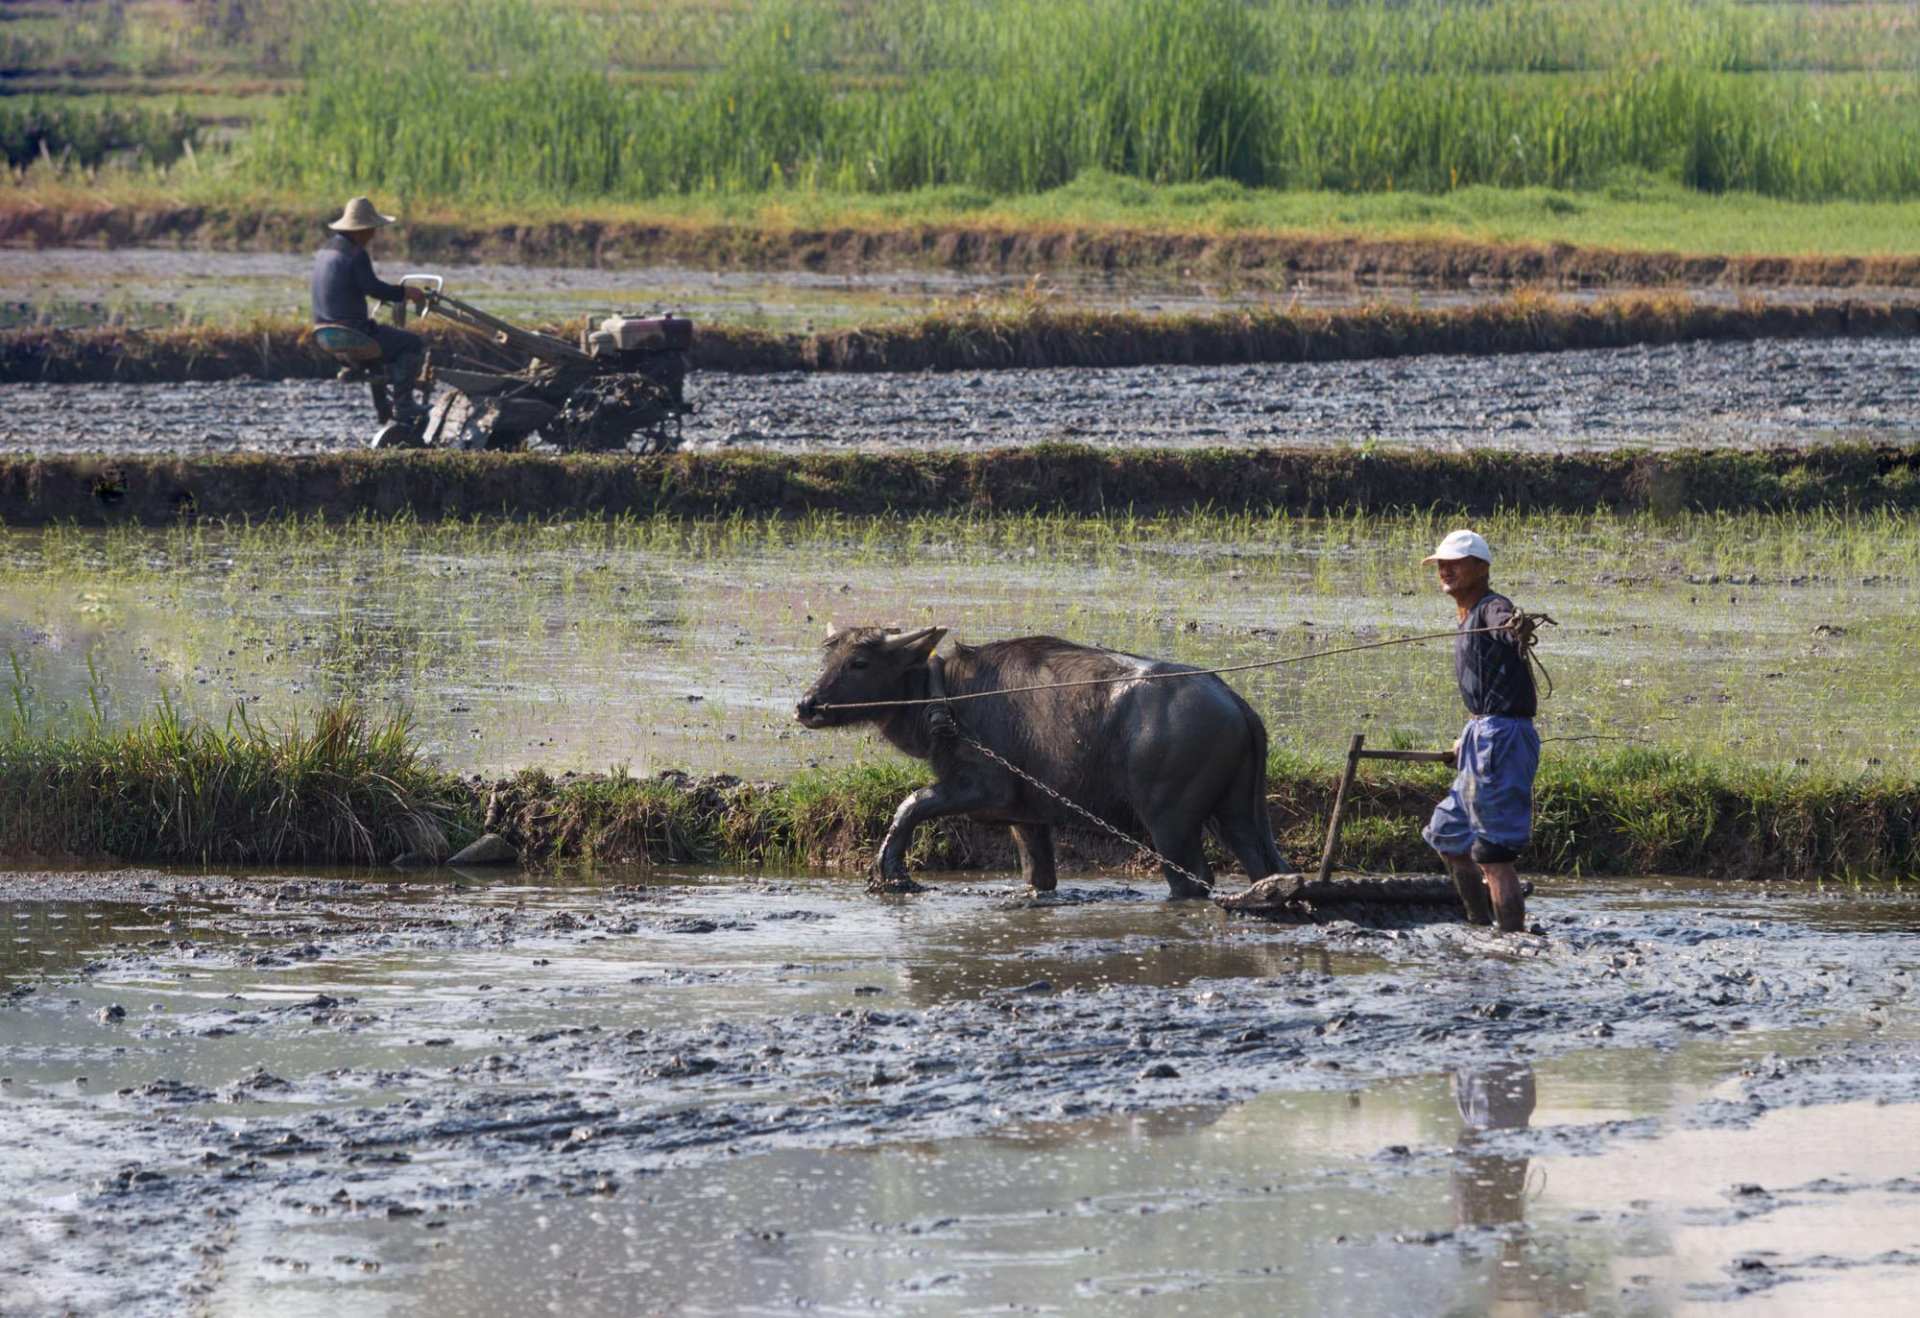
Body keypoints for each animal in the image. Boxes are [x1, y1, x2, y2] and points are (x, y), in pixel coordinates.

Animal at [794, 626, 1290, 899]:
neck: (947, 700)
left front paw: (891, 872)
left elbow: (912, 803)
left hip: (1171, 822)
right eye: (829, 657)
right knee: (1264, 865)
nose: (806, 705)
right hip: (1235, 812)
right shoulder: (1026, 817)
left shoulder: (983, 790)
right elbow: (1039, 876)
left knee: (1193, 879)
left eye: (859, 662)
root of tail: (1233, 700)